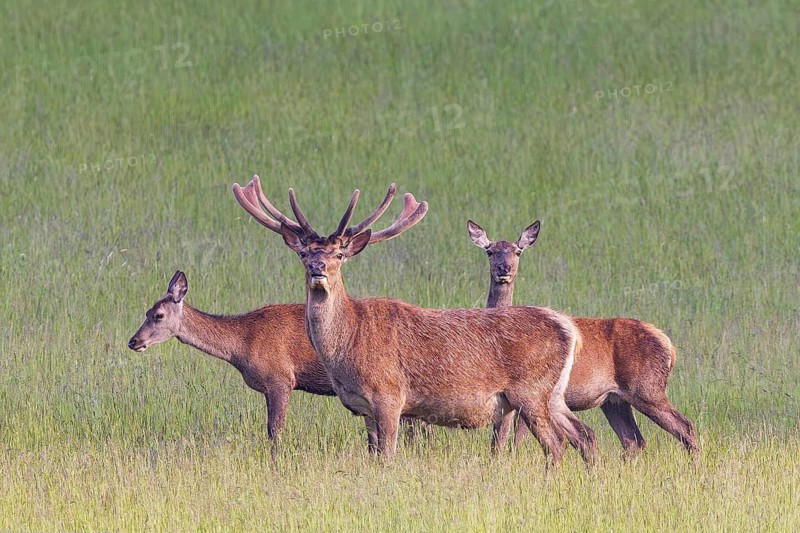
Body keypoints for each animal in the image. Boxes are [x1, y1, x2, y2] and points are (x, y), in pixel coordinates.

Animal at [231, 175, 597, 470]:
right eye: (304, 253)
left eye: (340, 254)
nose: (317, 269)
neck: (348, 344)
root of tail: (568, 328)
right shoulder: (365, 408)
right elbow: (374, 455)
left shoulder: (389, 395)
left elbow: (388, 457)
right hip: (554, 395)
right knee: (586, 435)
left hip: (530, 391)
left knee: (556, 445)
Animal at [467, 219, 699, 458]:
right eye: (490, 251)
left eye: (518, 251)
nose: (504, 268)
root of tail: (670, 346)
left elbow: (505, 441)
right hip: (615, 401)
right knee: (633, 440)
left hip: (647, 388)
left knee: (684, 426)